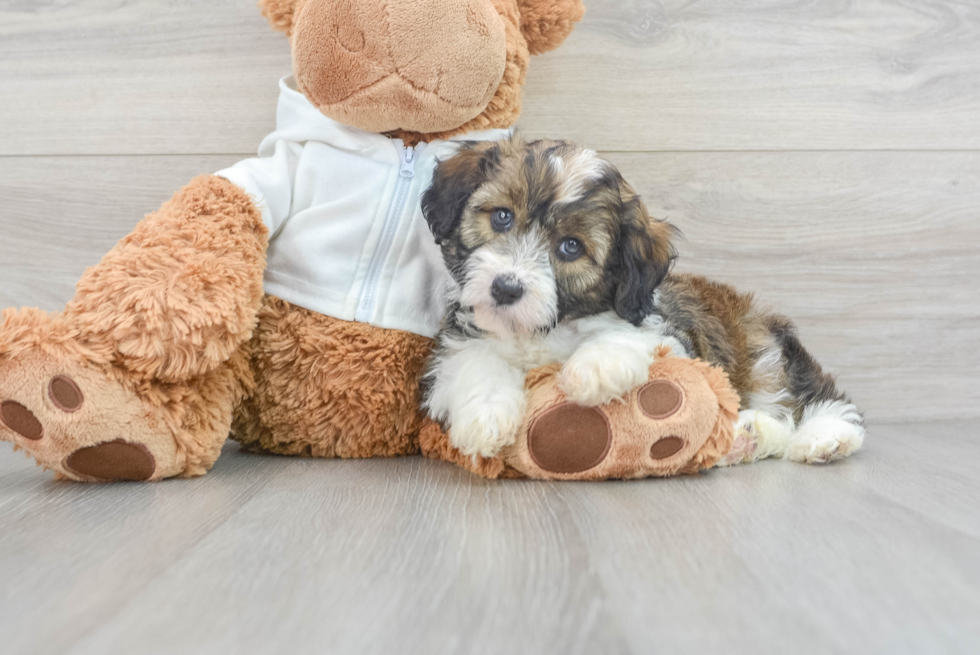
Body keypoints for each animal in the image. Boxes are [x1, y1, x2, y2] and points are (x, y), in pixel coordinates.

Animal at [422, 136, 864, 466]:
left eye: (570, 246)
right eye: (502, 217)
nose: (506, 288)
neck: (539, 330)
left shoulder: (667, 334)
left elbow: (628, 336)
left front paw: (595, 366)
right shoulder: (460, 338)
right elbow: (472, 361)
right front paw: (485, 416)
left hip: (764, 355)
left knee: (810, 396)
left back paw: (826, 436)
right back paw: (746, 437)